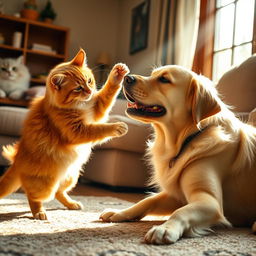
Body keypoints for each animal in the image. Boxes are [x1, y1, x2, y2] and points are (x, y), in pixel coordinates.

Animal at [0, 48, 128, 220]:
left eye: (89, 81)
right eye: (78, 88)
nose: (89, 91)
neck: (81, 105)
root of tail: (16, 163)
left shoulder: (96, 108)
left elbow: (107, 94)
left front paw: (117, 74)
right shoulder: (77, 131)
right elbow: (99, 129)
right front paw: (117, 126)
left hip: (70, 177)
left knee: (59, 192)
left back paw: (72, 204)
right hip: (46, 185)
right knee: (33, 196)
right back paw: (39, 212)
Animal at [100, 64, 256, 244]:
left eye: (164, 79)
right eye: (153, 74)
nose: (127, 78)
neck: (187, 138)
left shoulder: (209, 201)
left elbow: (180, 211)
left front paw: (165, 228)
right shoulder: (177, 195)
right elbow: (147, 201)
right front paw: (120, 213)